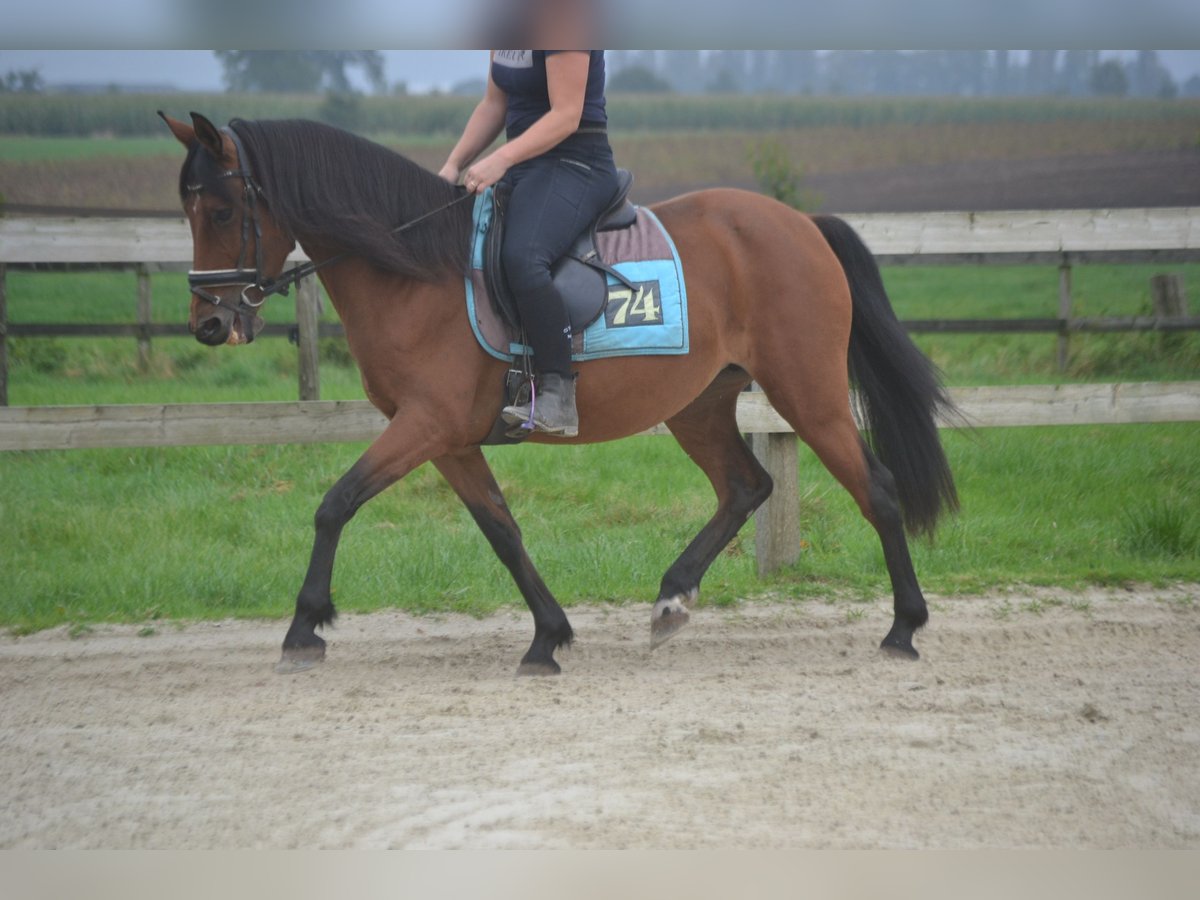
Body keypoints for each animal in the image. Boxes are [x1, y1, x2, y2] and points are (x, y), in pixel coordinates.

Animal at [162, 111, 955, 676]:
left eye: (222, 212)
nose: (209, 324)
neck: (415, 268)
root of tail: (800, 225)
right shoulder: (447, 439)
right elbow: (502, 530)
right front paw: (549, 636)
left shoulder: (425, 425)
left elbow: (335, 504)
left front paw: (304, 626)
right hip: (698, 403)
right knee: (744, 485)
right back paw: (672, 598)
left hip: (807, 392)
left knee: (876, 490)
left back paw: (904, 627)